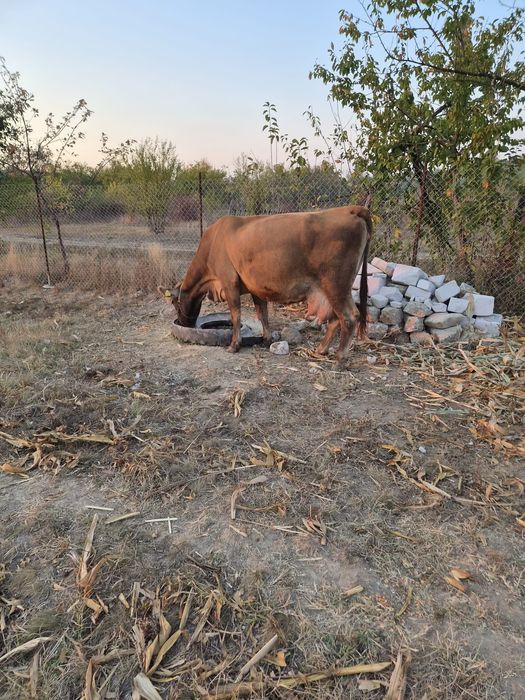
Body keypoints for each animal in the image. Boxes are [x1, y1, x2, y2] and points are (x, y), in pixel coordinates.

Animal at [170, 204, 371, 361]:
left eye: (175, 304)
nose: (181, 323)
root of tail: (350, 209)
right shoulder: (255, 287)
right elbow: (262, 314)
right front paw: (266, 339)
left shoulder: (229, 282)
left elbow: (236, 316)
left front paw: (234, 345)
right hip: (334, 288)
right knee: (336, 318)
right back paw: (321, 349)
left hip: (336, 284)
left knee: (350, 316)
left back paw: (340, 357)